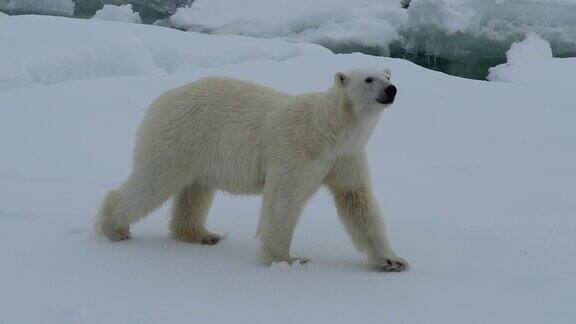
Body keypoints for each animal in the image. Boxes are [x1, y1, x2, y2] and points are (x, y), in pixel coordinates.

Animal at [95, 68, 410, 270]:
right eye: (368, 79)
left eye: (388, 76)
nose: (391, 89)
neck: (327, 130)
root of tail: (157, 102)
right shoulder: (295, 151)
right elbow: (283, 200)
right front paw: (286, 259)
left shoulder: (345, 156)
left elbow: (357, 201)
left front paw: (392, 260)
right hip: (177, 138)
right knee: (154, 181)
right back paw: (114, 228)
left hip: (199, 150)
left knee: (196, 190)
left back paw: (201, 234)